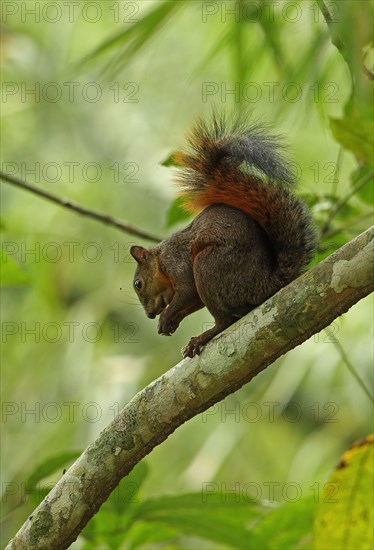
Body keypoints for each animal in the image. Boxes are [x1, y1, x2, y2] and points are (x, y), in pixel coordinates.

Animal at [130, 114, 318, 360]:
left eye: (138, 284)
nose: (150, 314)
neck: (160, 258)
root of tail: (266, 284)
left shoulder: (176, 259)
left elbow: (187, 290)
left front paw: (166, 318)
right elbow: (191, 299)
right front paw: (172, 321)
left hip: (210, 265)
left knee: (225, 321)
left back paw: (202, 337)